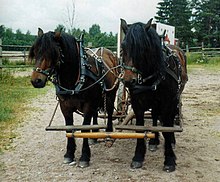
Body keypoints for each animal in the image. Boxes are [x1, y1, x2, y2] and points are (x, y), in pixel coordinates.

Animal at [29, 28, 119, 168]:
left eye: (53, 53)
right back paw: (95, 135)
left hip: (110, 94)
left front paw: (84, 156)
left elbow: (84, 129)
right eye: (35, 51)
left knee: (109, 111)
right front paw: (69, 154)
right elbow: (69, 128)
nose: (36, 81)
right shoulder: (65, 106)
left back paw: (108, 134)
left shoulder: (88, 104)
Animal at [120, 18, 187, 172]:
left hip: (174, 99)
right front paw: (138, 157)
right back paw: (154, 141)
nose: (129, 81)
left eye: (143, 48)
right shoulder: (137, 103)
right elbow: (140, 128)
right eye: (123, 47)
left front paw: (169, 159)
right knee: (156, 116)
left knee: (168, 120)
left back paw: (170, 140)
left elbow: (167, 128)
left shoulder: (168, 102)